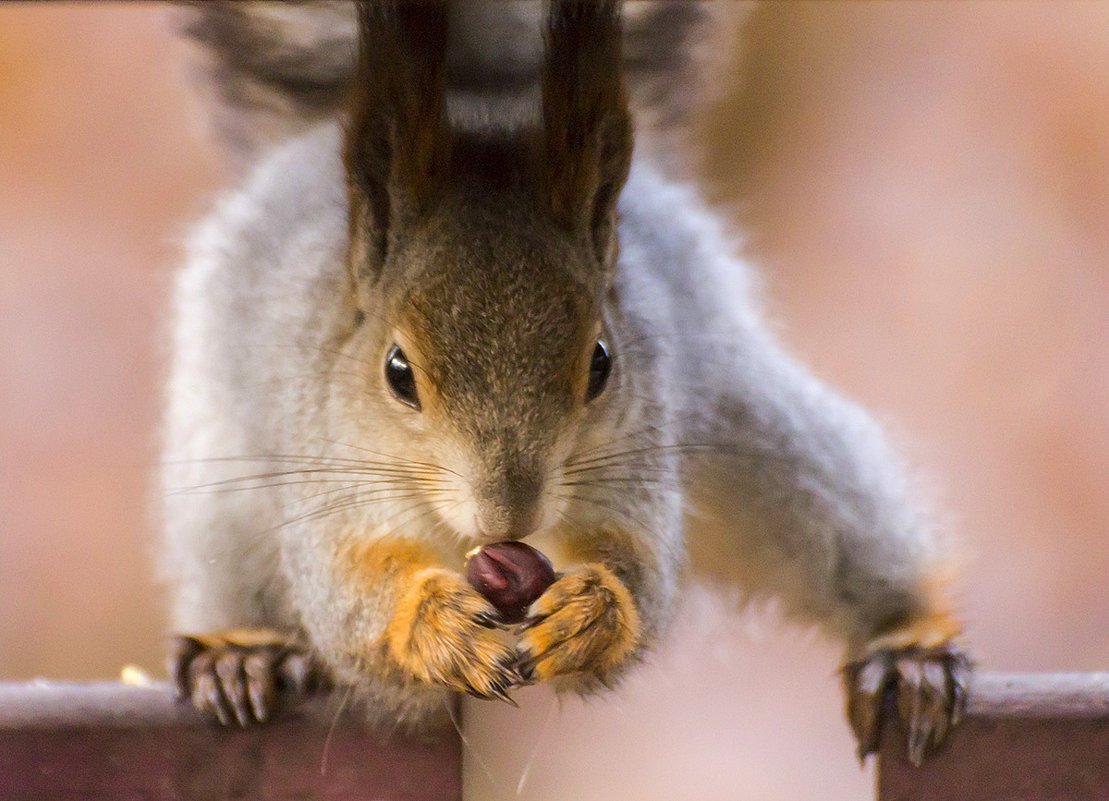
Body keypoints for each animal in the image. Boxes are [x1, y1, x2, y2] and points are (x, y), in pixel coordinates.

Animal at [164, 0, 971, 763]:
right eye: (397, 372)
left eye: (602, 363)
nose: (508, 516)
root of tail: (485, 95)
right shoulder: (328, 468)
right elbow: (346, 590)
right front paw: (434, 623)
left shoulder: (637, 453)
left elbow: (642, 562)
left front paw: (595, 610)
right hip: (222, 492)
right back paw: (244, 655)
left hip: (762, 440)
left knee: (842, 525)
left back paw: (907, 651)